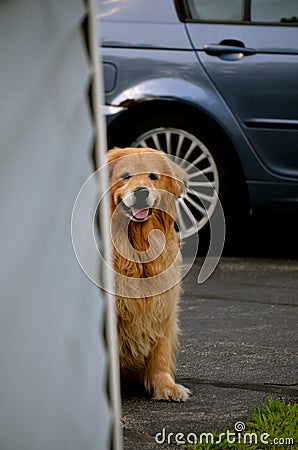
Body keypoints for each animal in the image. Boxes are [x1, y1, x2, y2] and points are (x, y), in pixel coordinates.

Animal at [107, 147, 191, 400]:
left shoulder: (162, 305)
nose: (141, 191)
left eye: (153, 176)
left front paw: (166, 386)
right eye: (125, 177)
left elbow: (160, 352)